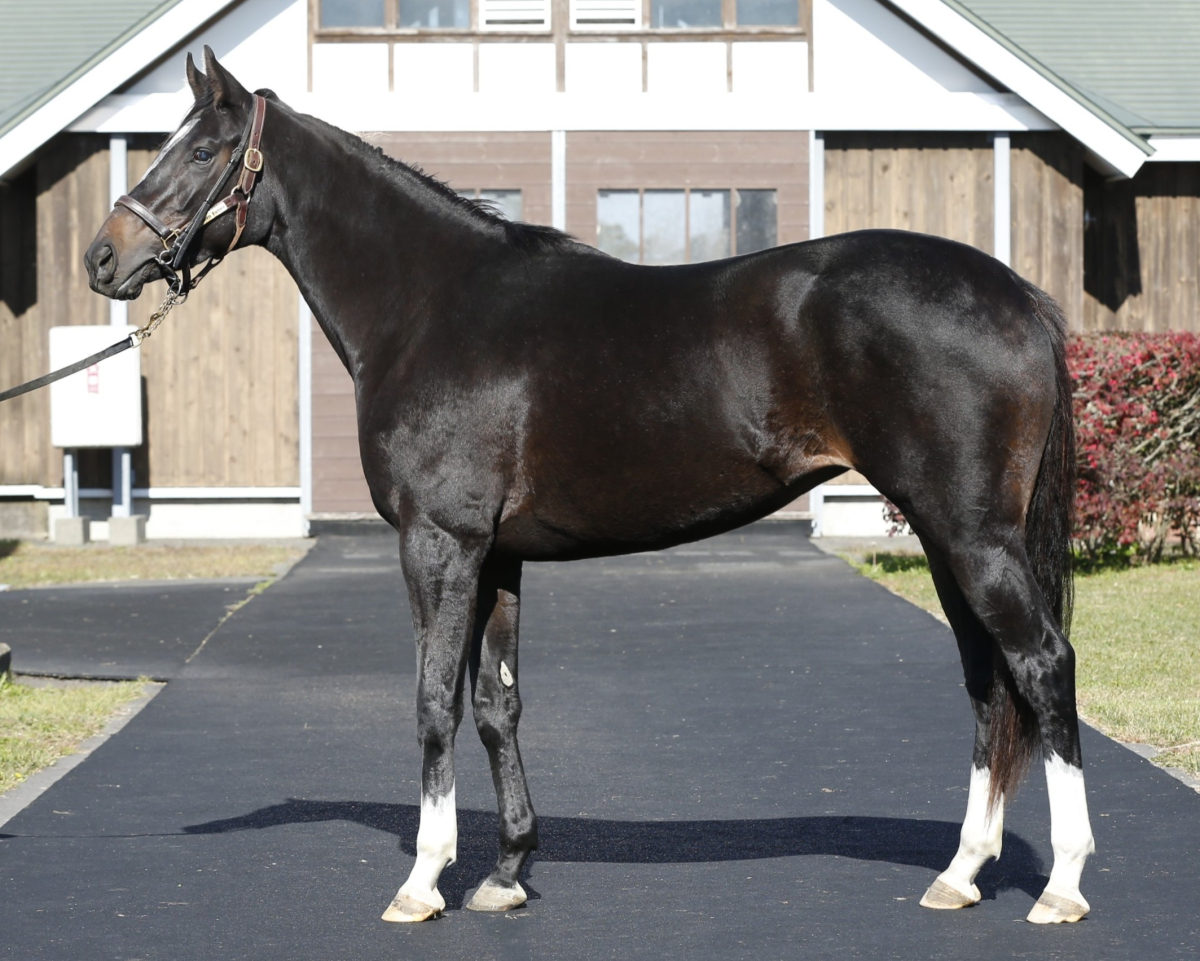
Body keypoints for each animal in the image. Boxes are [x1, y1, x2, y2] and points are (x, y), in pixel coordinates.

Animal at [84, 48, 1093, 925]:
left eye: (202, 150)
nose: (102, 257)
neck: (430, 306)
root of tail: (1019, 297)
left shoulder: (439, 543)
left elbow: (431, 701)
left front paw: (423, 881)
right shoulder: (497, 557)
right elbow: (496, 705)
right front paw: (506, 872)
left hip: (971, 534)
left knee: (1042, 664)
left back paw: (1062, 886)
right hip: (943, 533)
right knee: (988, 680)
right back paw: (961, 872)